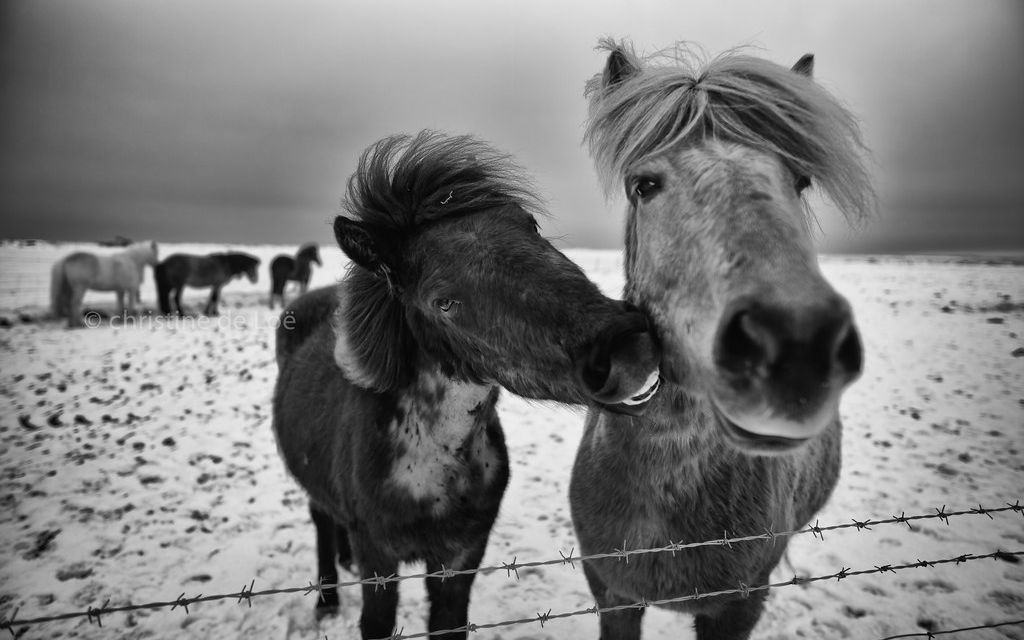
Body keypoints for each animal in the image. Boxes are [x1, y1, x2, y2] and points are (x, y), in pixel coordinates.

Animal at [272, 131, 659, 638]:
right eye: (444, 302)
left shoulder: (460, 559)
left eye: (530, 226)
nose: (629, 351)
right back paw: (326, 600)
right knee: (321, 522)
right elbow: (376, 621)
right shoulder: (379, 560)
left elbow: (449, 622)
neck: (433, 464)